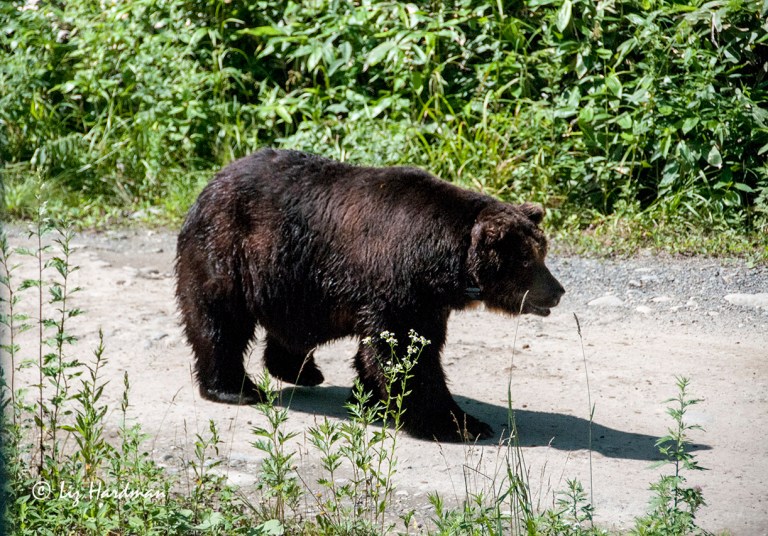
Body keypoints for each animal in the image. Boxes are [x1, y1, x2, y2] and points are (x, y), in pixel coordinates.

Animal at [175, 148, 565, 441]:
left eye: (542, 251)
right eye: (527, 260)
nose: (557, 292)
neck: (444, 265)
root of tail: (212, 181)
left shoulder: (424, 300)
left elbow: (396, 348)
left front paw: (372, 399)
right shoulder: (398, 284)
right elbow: (407, 355)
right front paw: (460, 424)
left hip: (291, 280)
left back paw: (302, 371)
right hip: (230, 249)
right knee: (220, 318)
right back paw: (236, 388)